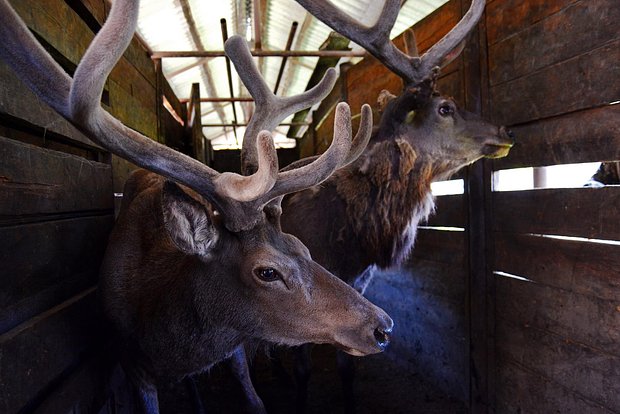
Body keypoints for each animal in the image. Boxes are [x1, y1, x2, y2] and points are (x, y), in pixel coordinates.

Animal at [0, 1, 394, 412]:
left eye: (303, 248)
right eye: (267, 272)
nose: (383, 327)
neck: (166, 336)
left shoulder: (233, 346)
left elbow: (254, 400)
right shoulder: (132, 362)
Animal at [230, 0, 516, 412]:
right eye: (446, 107)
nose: (506, 132)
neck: (349, 243)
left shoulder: (359, 286)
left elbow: (348, 366)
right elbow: (303, 366)